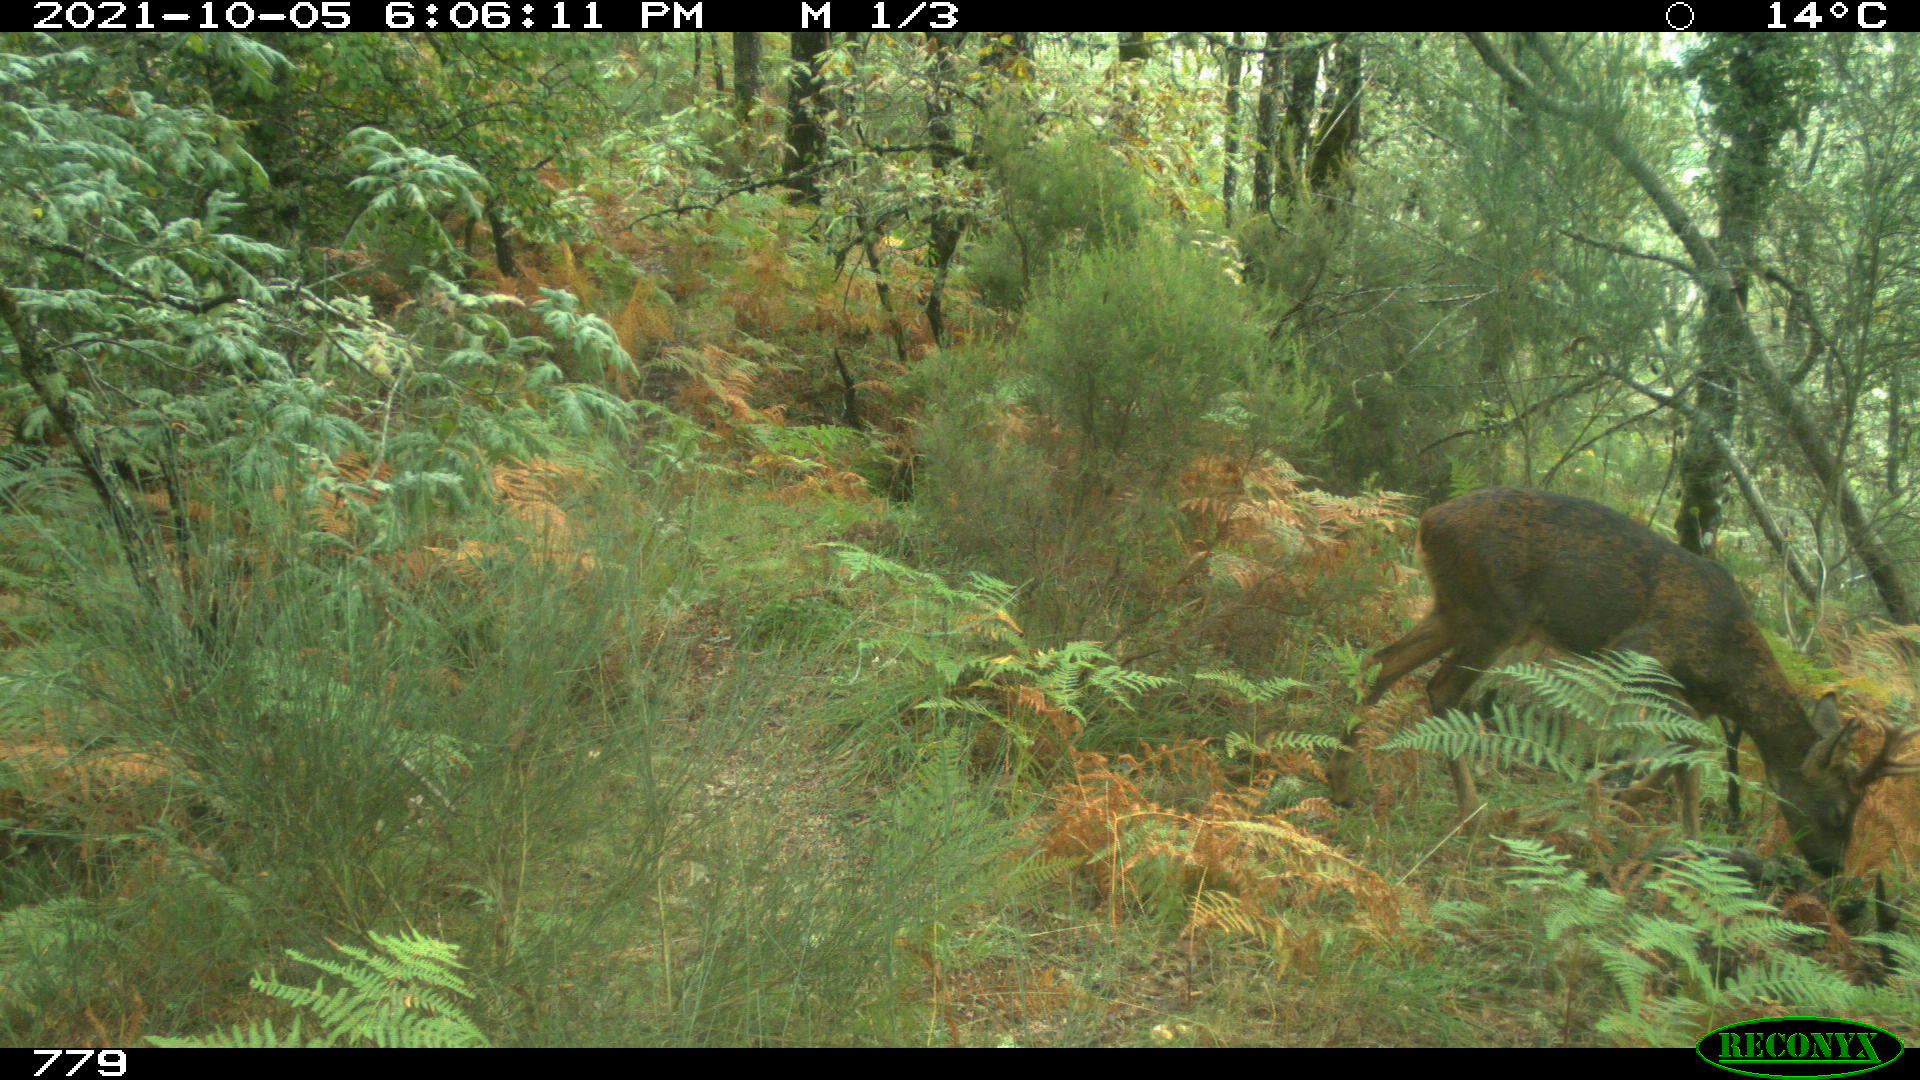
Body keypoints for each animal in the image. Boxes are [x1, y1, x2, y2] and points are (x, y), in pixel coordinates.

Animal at [1339, 486, 1920, 877]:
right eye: (1839, 811)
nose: (1834, 870)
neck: (1726, 667)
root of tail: (1429, 519)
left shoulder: (1693, 699)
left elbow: (1679, 757)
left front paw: (1642, 815)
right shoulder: (1639, 651)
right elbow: (1689, 752)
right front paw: (1675, 836)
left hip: (1456, 607)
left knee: (1381, 660)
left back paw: (1342, 773)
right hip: (1493, 613)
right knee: (1439, 689)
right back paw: (1471, 812)